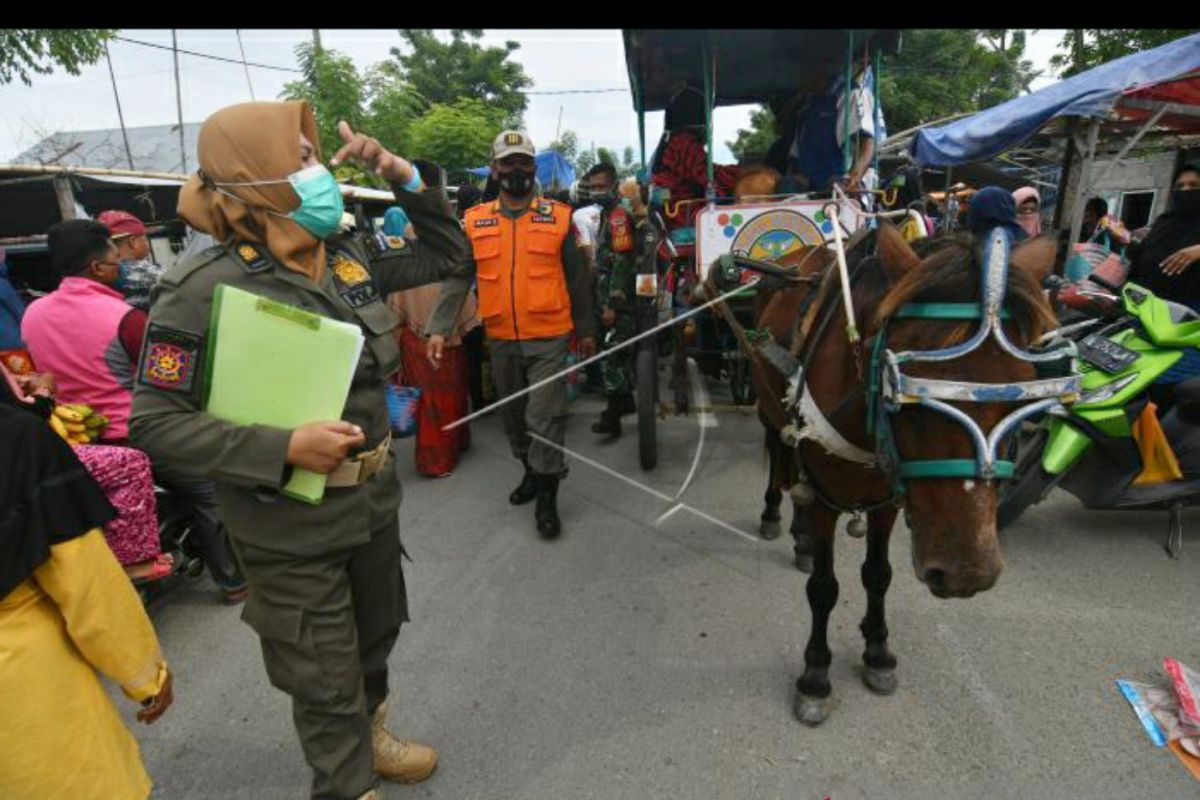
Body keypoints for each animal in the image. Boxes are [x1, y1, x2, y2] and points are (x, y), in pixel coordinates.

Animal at [758, 225, 1060, 724]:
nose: (967, 573)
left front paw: (878, 651)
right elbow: (823, 588)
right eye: (905, 397)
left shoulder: (888, 501)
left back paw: (799, 538)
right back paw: (773, 514)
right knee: (777, 451)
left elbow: (878, 574)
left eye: (1021, 396)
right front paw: (815, 675)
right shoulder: (825, 500)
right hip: (768, 411)